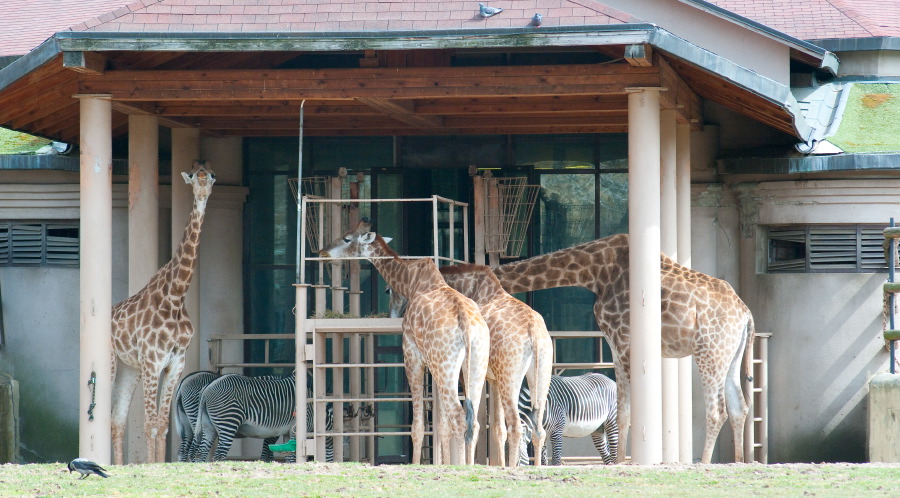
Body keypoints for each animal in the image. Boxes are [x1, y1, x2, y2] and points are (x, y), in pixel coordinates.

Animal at [110, 161, 216, 464]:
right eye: (193, 176)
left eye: (212, 176)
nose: (202, 189)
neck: (176, 297)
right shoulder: (152, 362)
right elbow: (150, 424)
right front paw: (150, 466)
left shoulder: (175, 364)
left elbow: (164, 424)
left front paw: (158, 465)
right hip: (113, 361)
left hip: (129, 368)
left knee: (116, 419)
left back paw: (118, 466)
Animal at [190, 372, 334, 462]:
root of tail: (207, 389)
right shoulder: (295, 429)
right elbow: (292, 456)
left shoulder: (287, 432)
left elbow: (288, 456)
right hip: (229, 421)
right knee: (219, 454)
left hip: (208, 427)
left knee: (201, 452)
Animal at [318, 220, 488, 464]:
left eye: (347, 238)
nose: (322, 252)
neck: (412, 281)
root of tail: (466, 324)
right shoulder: (433, 365)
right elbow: (441, 425)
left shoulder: (411, 353)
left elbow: (418, 426)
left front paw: (418, 464)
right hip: (474, 366)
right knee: (473, 420)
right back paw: (470, 465)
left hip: (446, 366)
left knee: (459, 417)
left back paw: (463, 467)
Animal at [438, 264, 552, 466]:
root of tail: (534, 333)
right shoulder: (495, 380)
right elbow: (498, 428)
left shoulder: (470, 375)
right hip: (541, 374)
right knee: (538, 430)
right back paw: (535, 467)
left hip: (510, 377)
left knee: (516, 426)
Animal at [492, 233, 752, 462]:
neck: (594, 272)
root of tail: (746, 314)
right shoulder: (614, 343)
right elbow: (623, 413)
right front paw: (618, 463)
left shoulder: (624, 340)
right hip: (730, 354)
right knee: (739, 407)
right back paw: (739, 461)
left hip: (710, 351)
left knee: (717, 410)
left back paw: (705, 463)